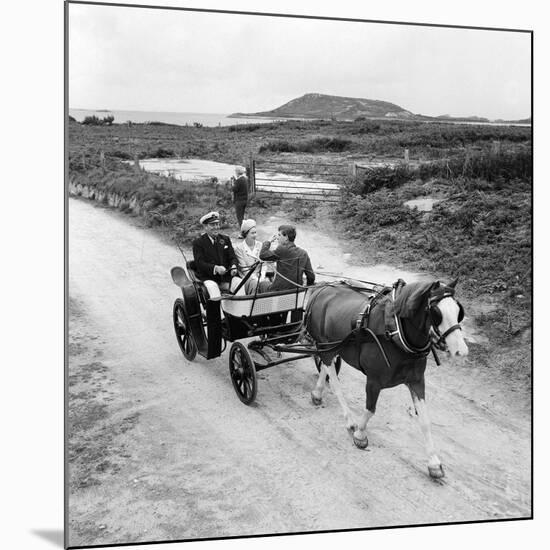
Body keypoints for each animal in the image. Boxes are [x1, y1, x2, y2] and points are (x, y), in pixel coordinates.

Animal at [306, 278, 470, 480]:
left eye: (459, 312)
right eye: (436, 312)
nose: (461, 351)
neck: (395, 332)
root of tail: (322, 288)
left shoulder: (417, 381)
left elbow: (425, 421)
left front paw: (433, 462)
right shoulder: (374, 380)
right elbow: (370, 410)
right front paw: (360, 435)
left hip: (332, 346)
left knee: (326, 366)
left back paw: (317, 393)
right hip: (326, 344)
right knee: (333, 377)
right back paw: (349, 419)